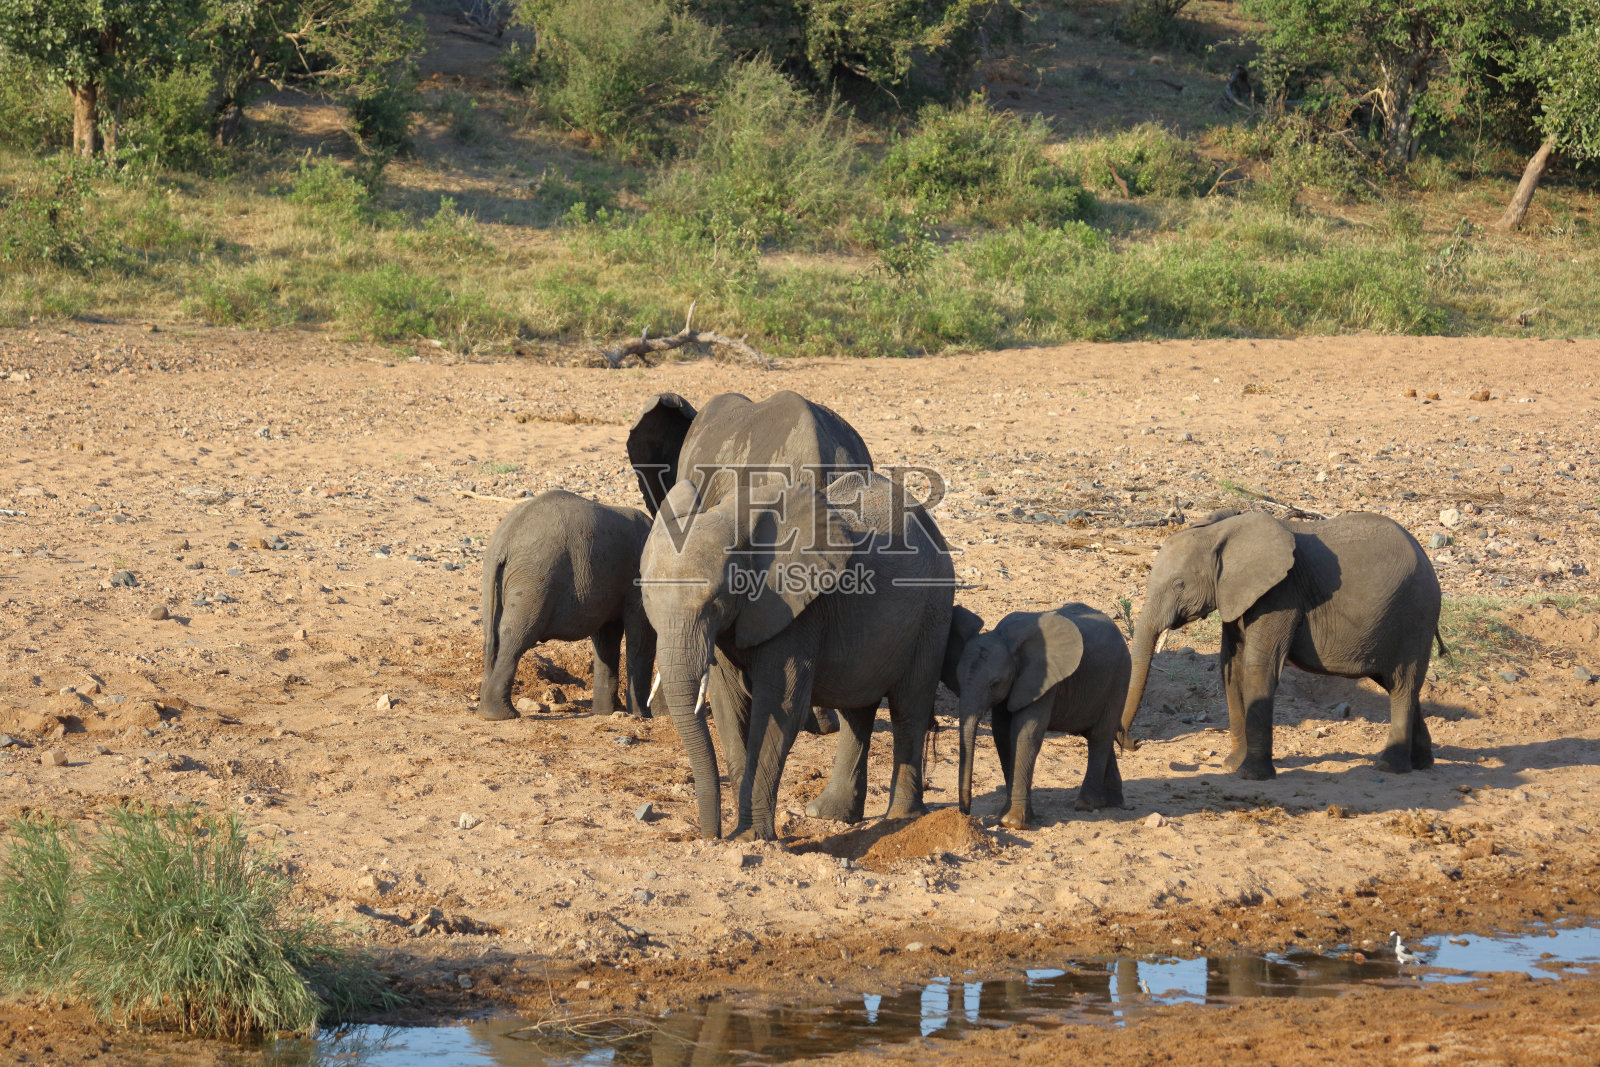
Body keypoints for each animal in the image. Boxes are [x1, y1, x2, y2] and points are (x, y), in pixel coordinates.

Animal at [477, 490, 655, 721]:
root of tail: (504, 540)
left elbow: (607, 638)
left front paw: (605, 714)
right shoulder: (638, 577)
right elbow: (640, 635)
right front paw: (642, 716)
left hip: (497, 578)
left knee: (492, 637)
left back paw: (487, 712)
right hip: (535, 579)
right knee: (516, 635)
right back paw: (502, 715)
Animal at [640, 470, 956, 841]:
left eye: (716, 602)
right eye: (647, 597)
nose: (710, 835)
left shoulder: (797, 612)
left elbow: (780, 704)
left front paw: (751, 838)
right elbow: (728, 705)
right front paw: (742, 835)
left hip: (933, 609)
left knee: (909, 707)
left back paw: (900, 820)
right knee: (857, 710)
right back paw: (829, 814)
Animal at [955, 604, 1131, 830]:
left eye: (995, 683)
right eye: (957, 680)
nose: (965, 813)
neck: (1005, 638)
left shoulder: (1042, 679)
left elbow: (1025, 733)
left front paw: (1012, 823)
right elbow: (1001, 733)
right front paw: (1006, 816)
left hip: (1119, 676)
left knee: (1100, 735)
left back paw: (1087, 805)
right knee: (1098, 735)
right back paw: (1111, 802)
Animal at [1119, 508, 1443, 779]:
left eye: (1179, 585)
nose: (1136, 742)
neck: (1222, 531)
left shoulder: (1281, 594)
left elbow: (1256, 668)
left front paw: (1250, 775)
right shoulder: (1238, 594)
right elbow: (1231, 667)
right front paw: (1231, 766)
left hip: (1415, 615)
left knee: (1402, 684)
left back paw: (1389, 766)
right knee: (1400, 686)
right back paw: (1423, 763)